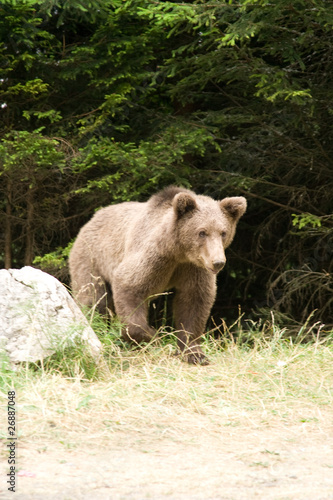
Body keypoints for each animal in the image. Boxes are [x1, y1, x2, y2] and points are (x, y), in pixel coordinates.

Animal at [68, 186, 245, 366]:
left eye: (223, 232)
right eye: (202, 232)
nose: (218, 262)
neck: (178, 253)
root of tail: (90, 220)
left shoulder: (194, 268)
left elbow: (194, 302)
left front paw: (194, 354)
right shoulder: (154, 258)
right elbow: (129, 286)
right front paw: (154, 336)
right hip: (91, 259)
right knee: (93, 299)